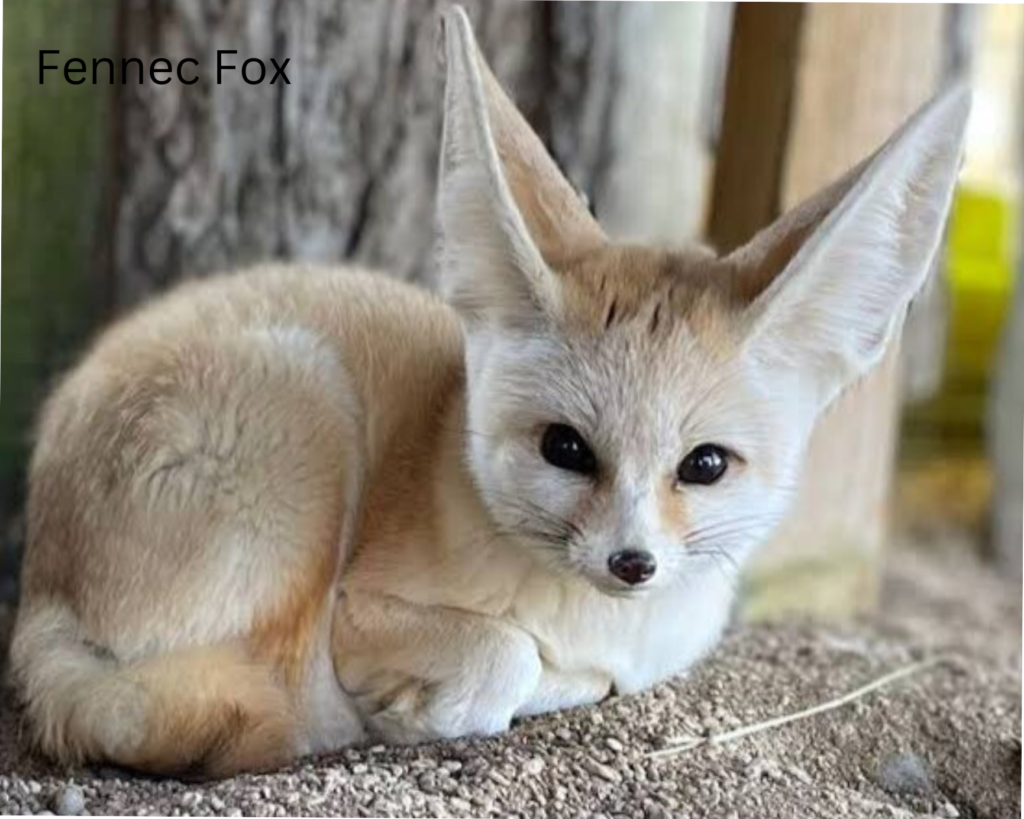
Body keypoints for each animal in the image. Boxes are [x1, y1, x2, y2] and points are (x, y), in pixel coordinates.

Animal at [9, 4, 966, 773]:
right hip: (307, 414)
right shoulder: (356, 604)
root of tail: (37, 586)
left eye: (705, 465)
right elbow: (506, 655)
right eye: (565, 448)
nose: (632, 561)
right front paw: (437, 702)